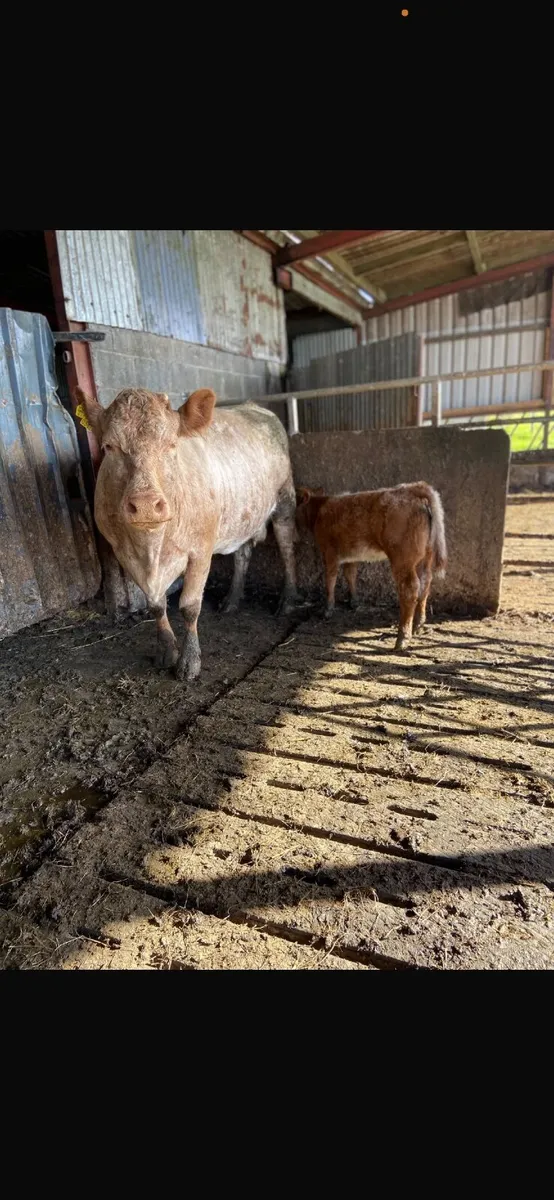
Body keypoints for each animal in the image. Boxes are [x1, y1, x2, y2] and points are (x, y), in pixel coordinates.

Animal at [76, 386, 298, 681]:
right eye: (109, 447)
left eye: (171, 445)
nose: (145, 504)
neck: (153, 548)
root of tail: (254, 407)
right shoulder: (123, 554)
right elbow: (156, 605)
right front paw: (167, 652)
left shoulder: (201, 550)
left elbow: (189, 606)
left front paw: (189, 661)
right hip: (242, 515)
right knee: (242, 554)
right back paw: (232, 600)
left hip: (285, 501)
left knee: (287, 549)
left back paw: (287, 601)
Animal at [296, 482, 447, 652]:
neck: (320, 508)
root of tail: (413, 488)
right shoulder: (351, 555)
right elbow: (350, 575)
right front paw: (354, 601)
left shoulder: (329, 552)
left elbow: (330, 579)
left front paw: (327, 609)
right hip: (426, 555)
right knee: (425, 583)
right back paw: (418, 626)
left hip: (403, 559)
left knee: (410, 589)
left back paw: (402, 638)